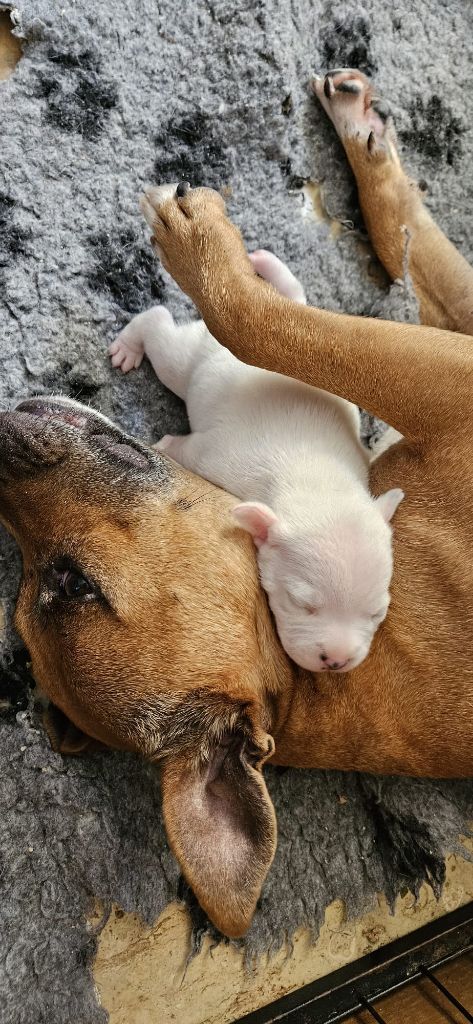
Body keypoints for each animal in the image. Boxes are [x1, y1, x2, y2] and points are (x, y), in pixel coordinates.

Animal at [111, 249, 403, 671]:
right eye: (302, 603)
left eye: (377, 613)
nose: (337, 660)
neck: (320, 481)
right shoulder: (215, 458)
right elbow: (186, 450)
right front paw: (163, 445)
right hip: (186, 360)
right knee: (162, 331)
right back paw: (131, 343)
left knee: (293, 298)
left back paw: (266, 264)